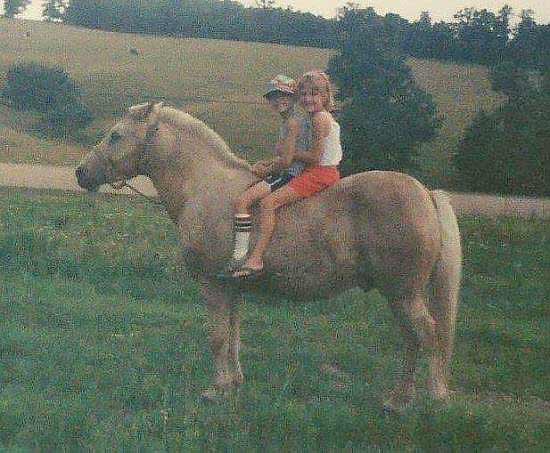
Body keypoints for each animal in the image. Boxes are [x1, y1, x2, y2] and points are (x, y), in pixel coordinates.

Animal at [76, 102, 462, 411]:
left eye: (115, 136)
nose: (81, 173)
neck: (204, 185)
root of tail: (426, 193)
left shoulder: (212, 285)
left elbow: (217, 337)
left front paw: (216, 390)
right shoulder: (232, 288)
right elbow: (233, 337)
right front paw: (233, 384)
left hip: (403, 294)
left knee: (427, 335)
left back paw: (420, 399)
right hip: (400, 296)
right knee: (413, 339)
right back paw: (401, 398)